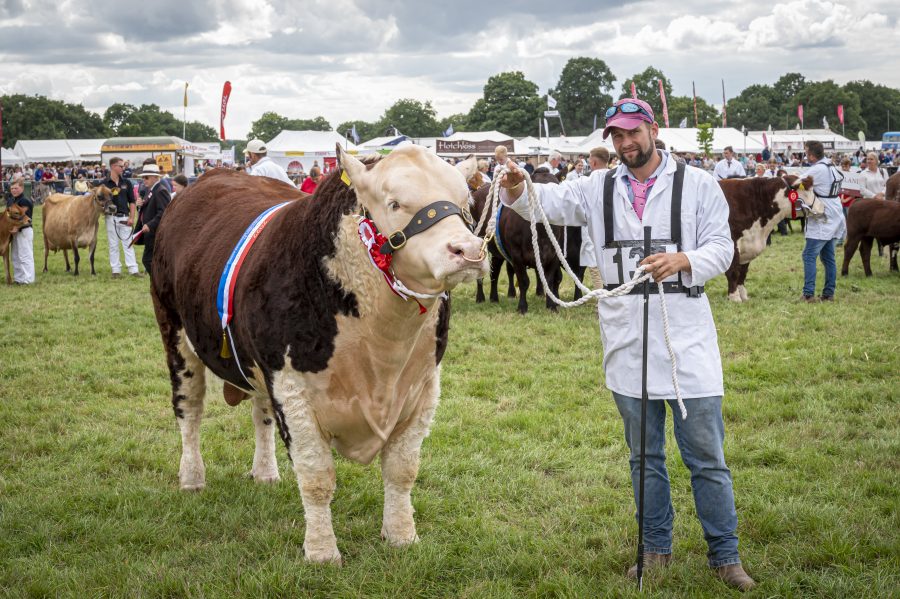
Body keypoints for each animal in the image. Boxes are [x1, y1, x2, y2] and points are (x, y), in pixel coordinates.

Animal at [149, 144, 486, 564]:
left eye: (465, 203)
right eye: (394, 202)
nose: (468, 250)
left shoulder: (423, 388)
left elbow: (402, 468)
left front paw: (401, 535)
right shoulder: (293, 389)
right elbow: (316, 476)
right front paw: (322, 551)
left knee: (260, 414)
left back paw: (265, 473)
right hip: (176, 336)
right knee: (189, 410)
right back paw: (192, 477)